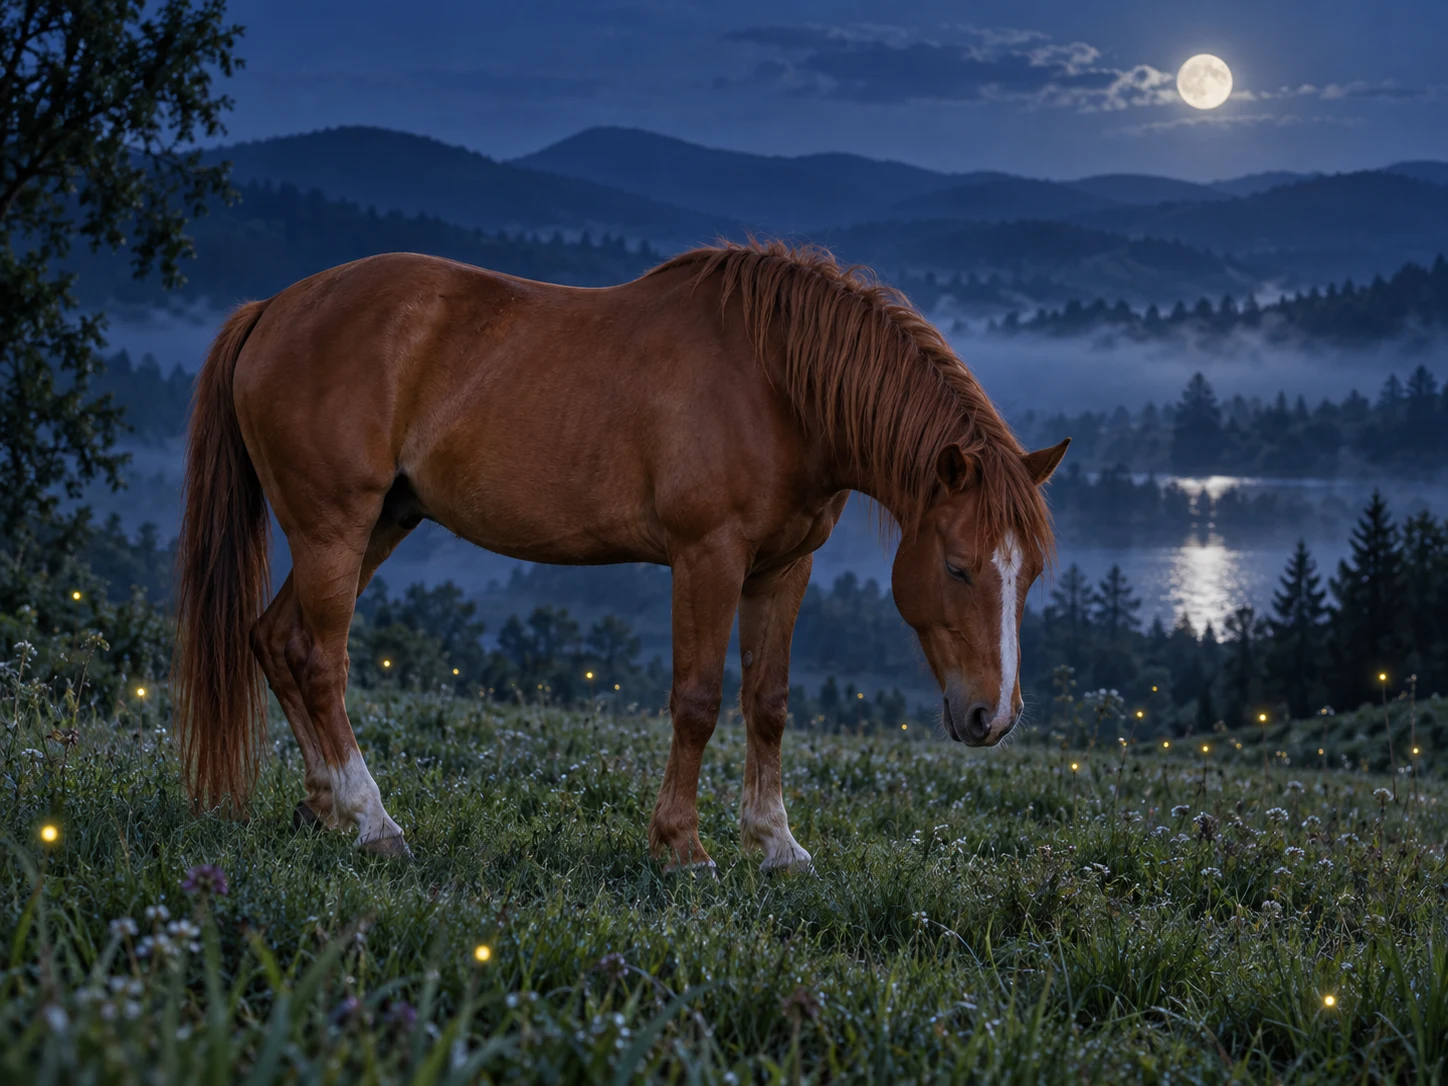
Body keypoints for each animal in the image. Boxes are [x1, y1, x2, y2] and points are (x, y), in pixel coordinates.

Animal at [172, 239, 1068, 870]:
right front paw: (683, 848)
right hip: (335, 527)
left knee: (275, 639)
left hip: (382, 524)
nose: (992, 717)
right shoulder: (708, 557)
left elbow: (768, 704)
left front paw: (776, 845)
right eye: (957, 567)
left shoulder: (783, 569)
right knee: (319, 658)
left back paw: (325, 807)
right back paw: (372, 820)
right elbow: (698, 701)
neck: (778, 387)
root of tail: (274, 308)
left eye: (1027, 578)